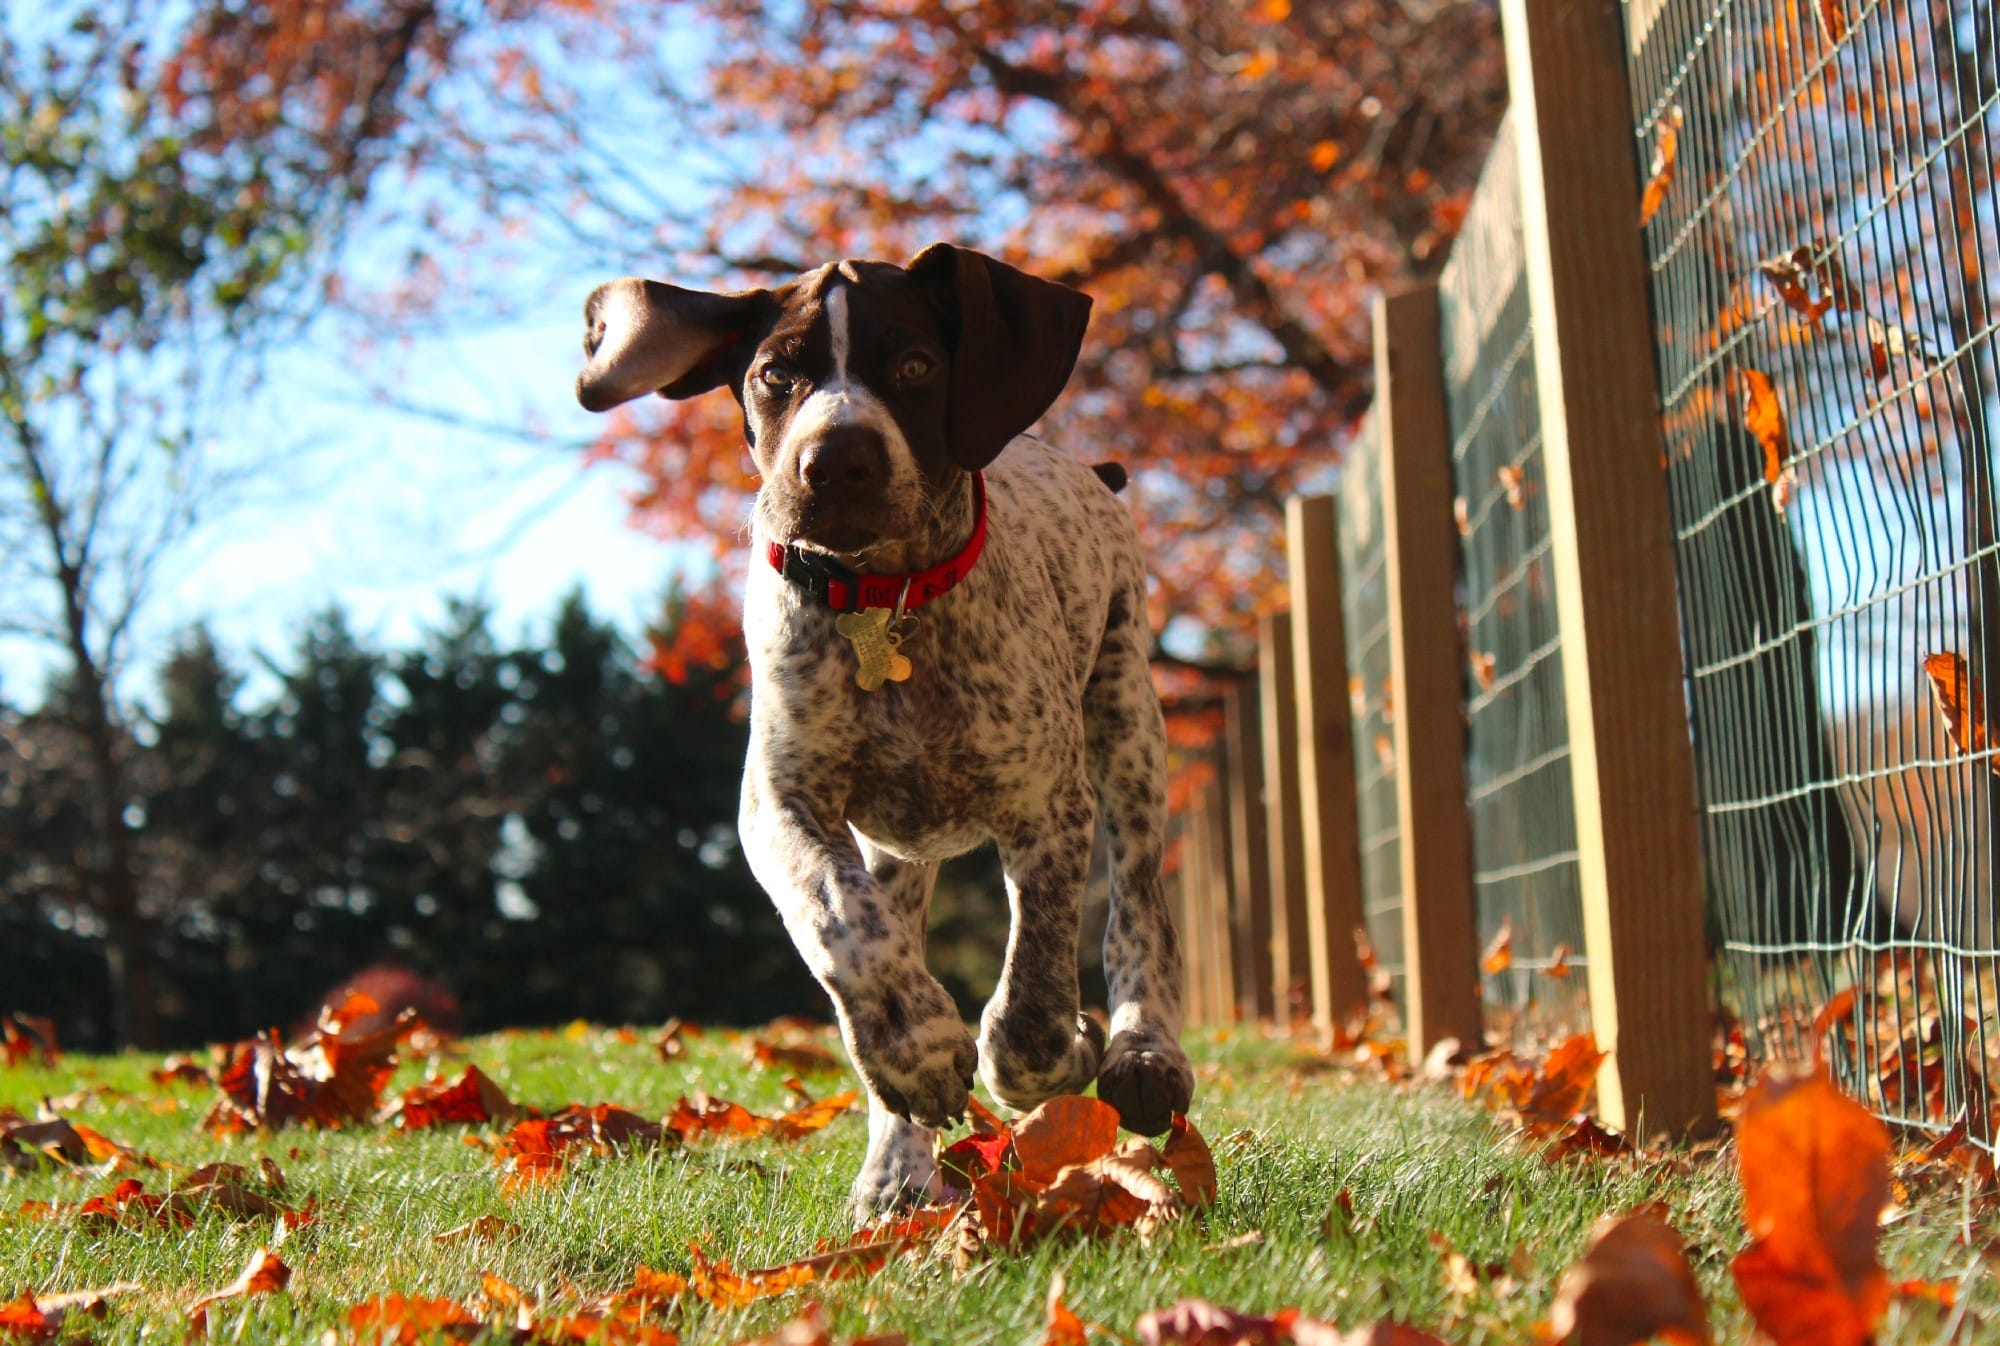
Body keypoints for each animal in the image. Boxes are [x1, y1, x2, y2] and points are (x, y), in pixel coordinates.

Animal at [576, 244, 1184, 1216]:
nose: (836, 461)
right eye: (775, 375)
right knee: (883, 930)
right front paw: (918, 1055)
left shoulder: (1048, 806)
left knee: (1138, 910)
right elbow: (840, 923)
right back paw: (897, 1169)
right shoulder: (782, 804)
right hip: (900, 849)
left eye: (916, 367)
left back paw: (1144, 1054)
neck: (884, 602)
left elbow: (1033, 999)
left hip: (1128, 726)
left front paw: (1065, 1051)